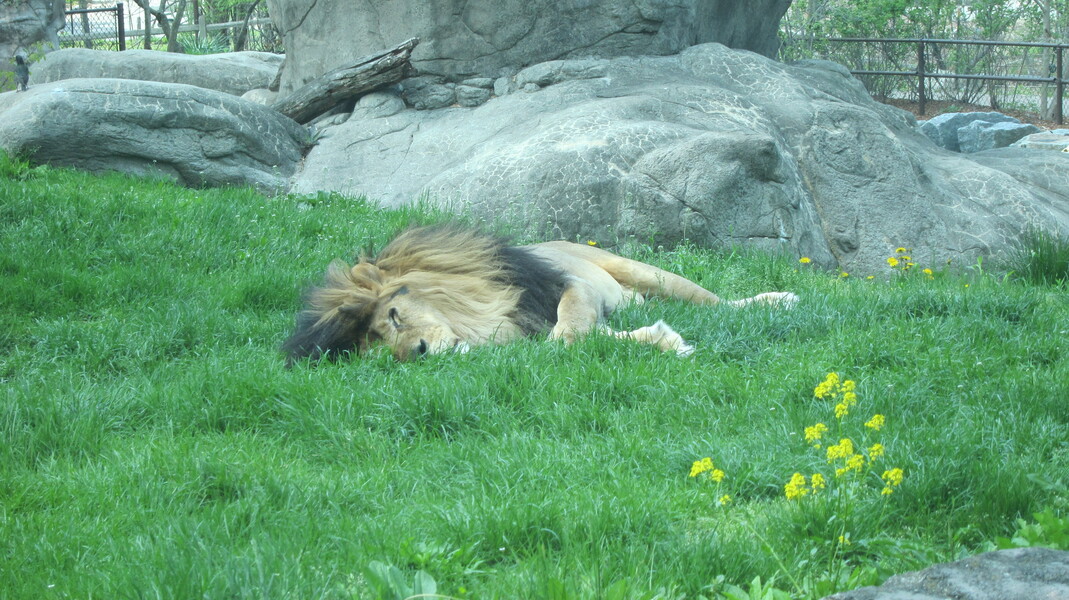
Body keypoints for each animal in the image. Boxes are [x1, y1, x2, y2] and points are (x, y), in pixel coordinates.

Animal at [282, 224, 798, 363]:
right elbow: (592, 336)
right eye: (383, 355)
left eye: (392, 314)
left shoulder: (567, 288)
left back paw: (778, 300)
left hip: (642, 272)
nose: (421, 352)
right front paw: (664, 340)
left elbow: (568, 332)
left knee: (717, 303)